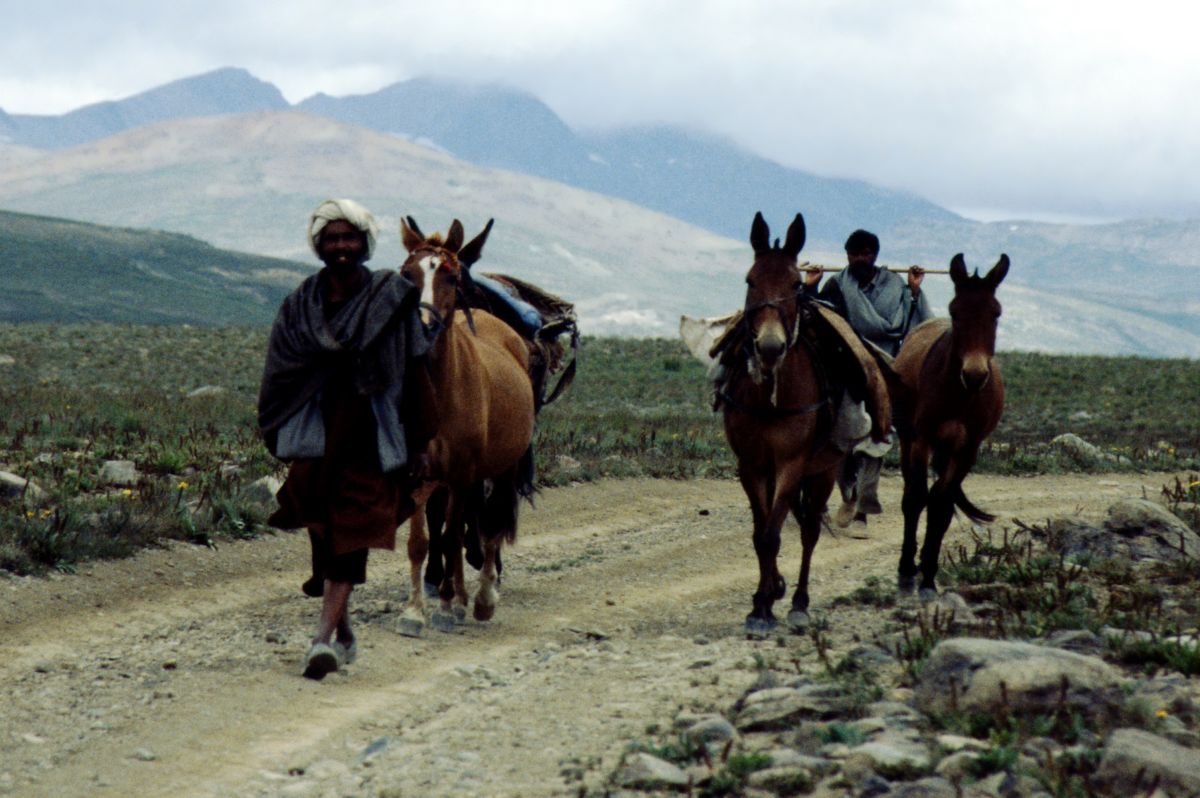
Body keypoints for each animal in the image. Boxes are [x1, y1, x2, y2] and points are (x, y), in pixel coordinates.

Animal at [396, 214, 532, 633]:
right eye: (405, 273)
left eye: (452, 277)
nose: (423, 325)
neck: (442, 390)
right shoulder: (419, 472)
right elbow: (422, 543)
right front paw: (414, 611)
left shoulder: (460, 472)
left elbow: (453, 536)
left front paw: (444, 606)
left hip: (503, 468)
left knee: (491, 527)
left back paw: (482, 598)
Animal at [720, 213, 854, 633]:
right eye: (750, 280)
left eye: (796, 284)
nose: (769, 347)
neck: (770, 399)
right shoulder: (752, 465)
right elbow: (761, 533)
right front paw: (762, 599)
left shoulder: (792, 464)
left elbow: (773, 534)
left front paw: (767, 604)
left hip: (823, 470)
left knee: (809, 530)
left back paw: (799, 603)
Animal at [897, 252, 1008, 595]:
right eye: (955, 312)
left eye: (996, 313)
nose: (974, 375)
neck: (960, 394)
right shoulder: (921, 440)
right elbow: (916, 499)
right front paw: (907, 571)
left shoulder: (967, 449)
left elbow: (942, 505)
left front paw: (929, 576)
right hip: (908, 440)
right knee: (912, 493)